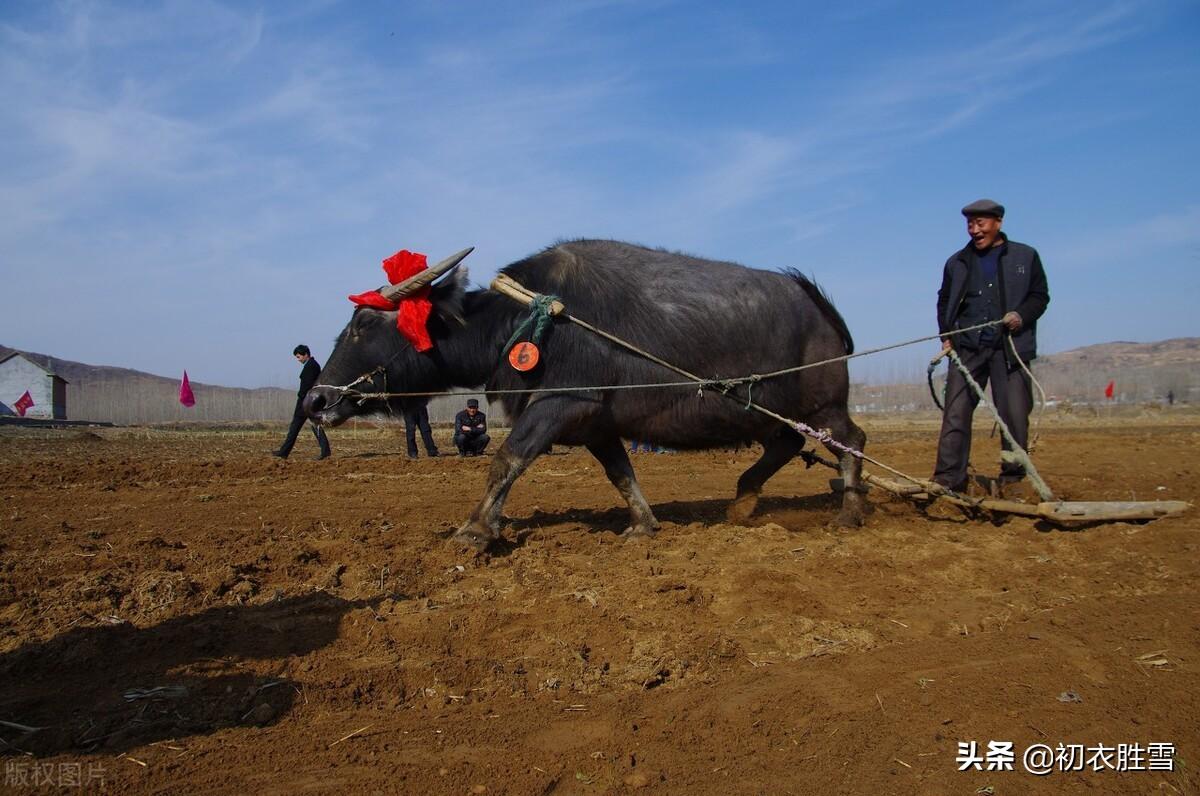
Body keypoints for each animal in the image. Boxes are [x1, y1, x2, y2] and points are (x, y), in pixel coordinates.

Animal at [307, 240, 873, 552]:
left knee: (852, 440)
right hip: (776, 412)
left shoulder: (561, 403)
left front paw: (474, 529)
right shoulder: (596, 423)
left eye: (362, 323)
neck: (529, 316)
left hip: (825, 404)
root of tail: (817, 305)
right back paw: (743, 499)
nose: (315, 401)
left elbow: (507, 458)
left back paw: (848, 512)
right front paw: (643, 525)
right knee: (788, 444)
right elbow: (621, 474)